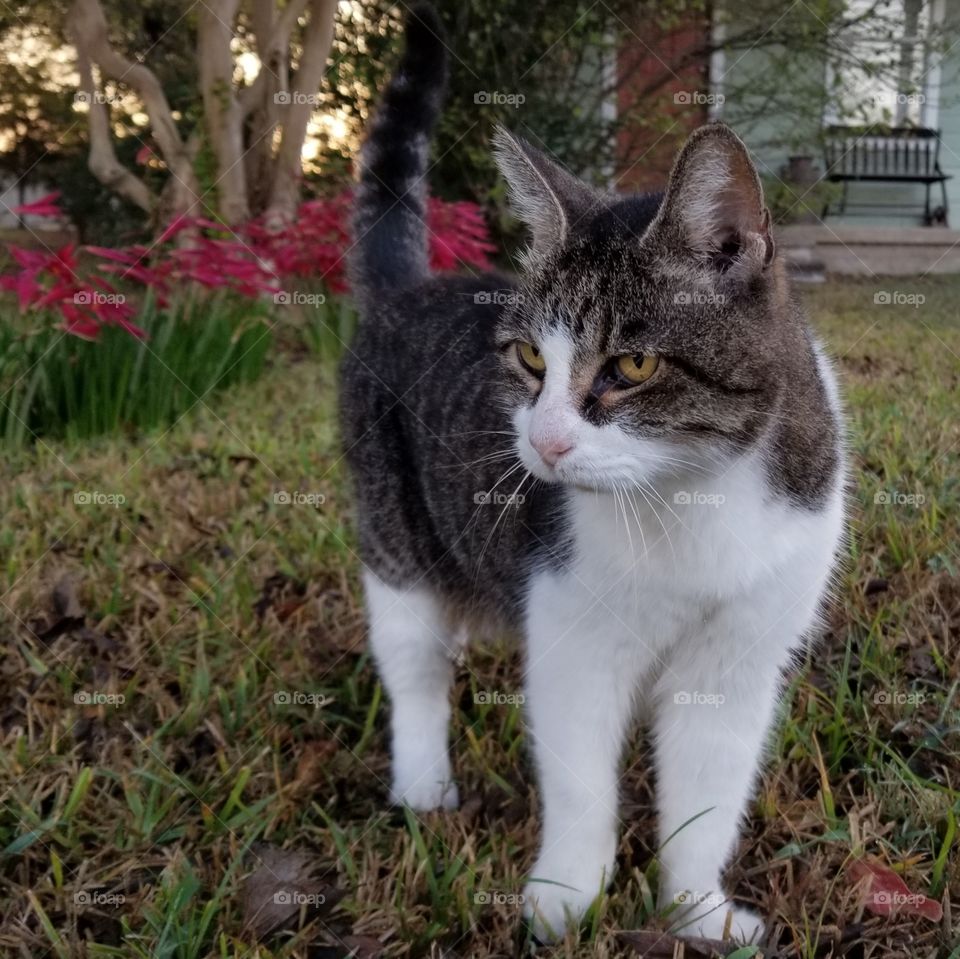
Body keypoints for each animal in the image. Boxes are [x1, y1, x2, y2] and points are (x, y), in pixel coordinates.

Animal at [340, 1, 848, 944]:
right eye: (531, 357)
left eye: (634, 365)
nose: (544, 442)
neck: (695, 495)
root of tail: (407, 291)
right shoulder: (574, 636)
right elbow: (580, 781)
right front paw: (565, 898)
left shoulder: (738, 656)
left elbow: (707, 797)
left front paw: (696, 909)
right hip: (391, 533)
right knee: (413, 661)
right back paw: (424, 779)